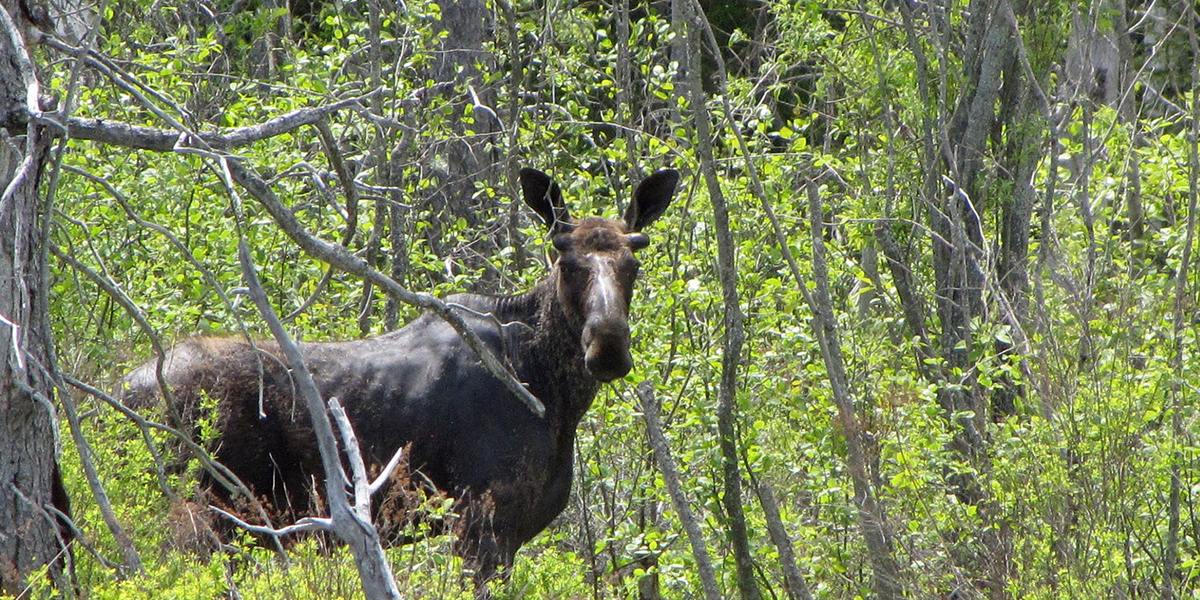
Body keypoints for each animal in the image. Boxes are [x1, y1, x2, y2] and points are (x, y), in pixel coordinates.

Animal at [125, 168, 681, 590]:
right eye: (566, 262)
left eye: (633, 262)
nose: (608, 347)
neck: (553, 394)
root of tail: (122, 389)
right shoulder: (482, 525)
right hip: (201, 517)